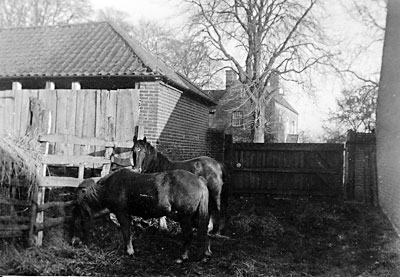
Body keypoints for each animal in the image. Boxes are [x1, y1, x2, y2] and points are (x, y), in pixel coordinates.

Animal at [71, 167, 211, 262]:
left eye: (78, 222)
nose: (74, 242)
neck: (107, 188)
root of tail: (199, 180)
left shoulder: (122, 213)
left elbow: (126, 231)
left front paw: (129, 251)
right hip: (195, 216)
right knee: (205, 230)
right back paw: (205, 254)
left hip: (185, 217)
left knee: (189, 234)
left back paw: (182, 257)